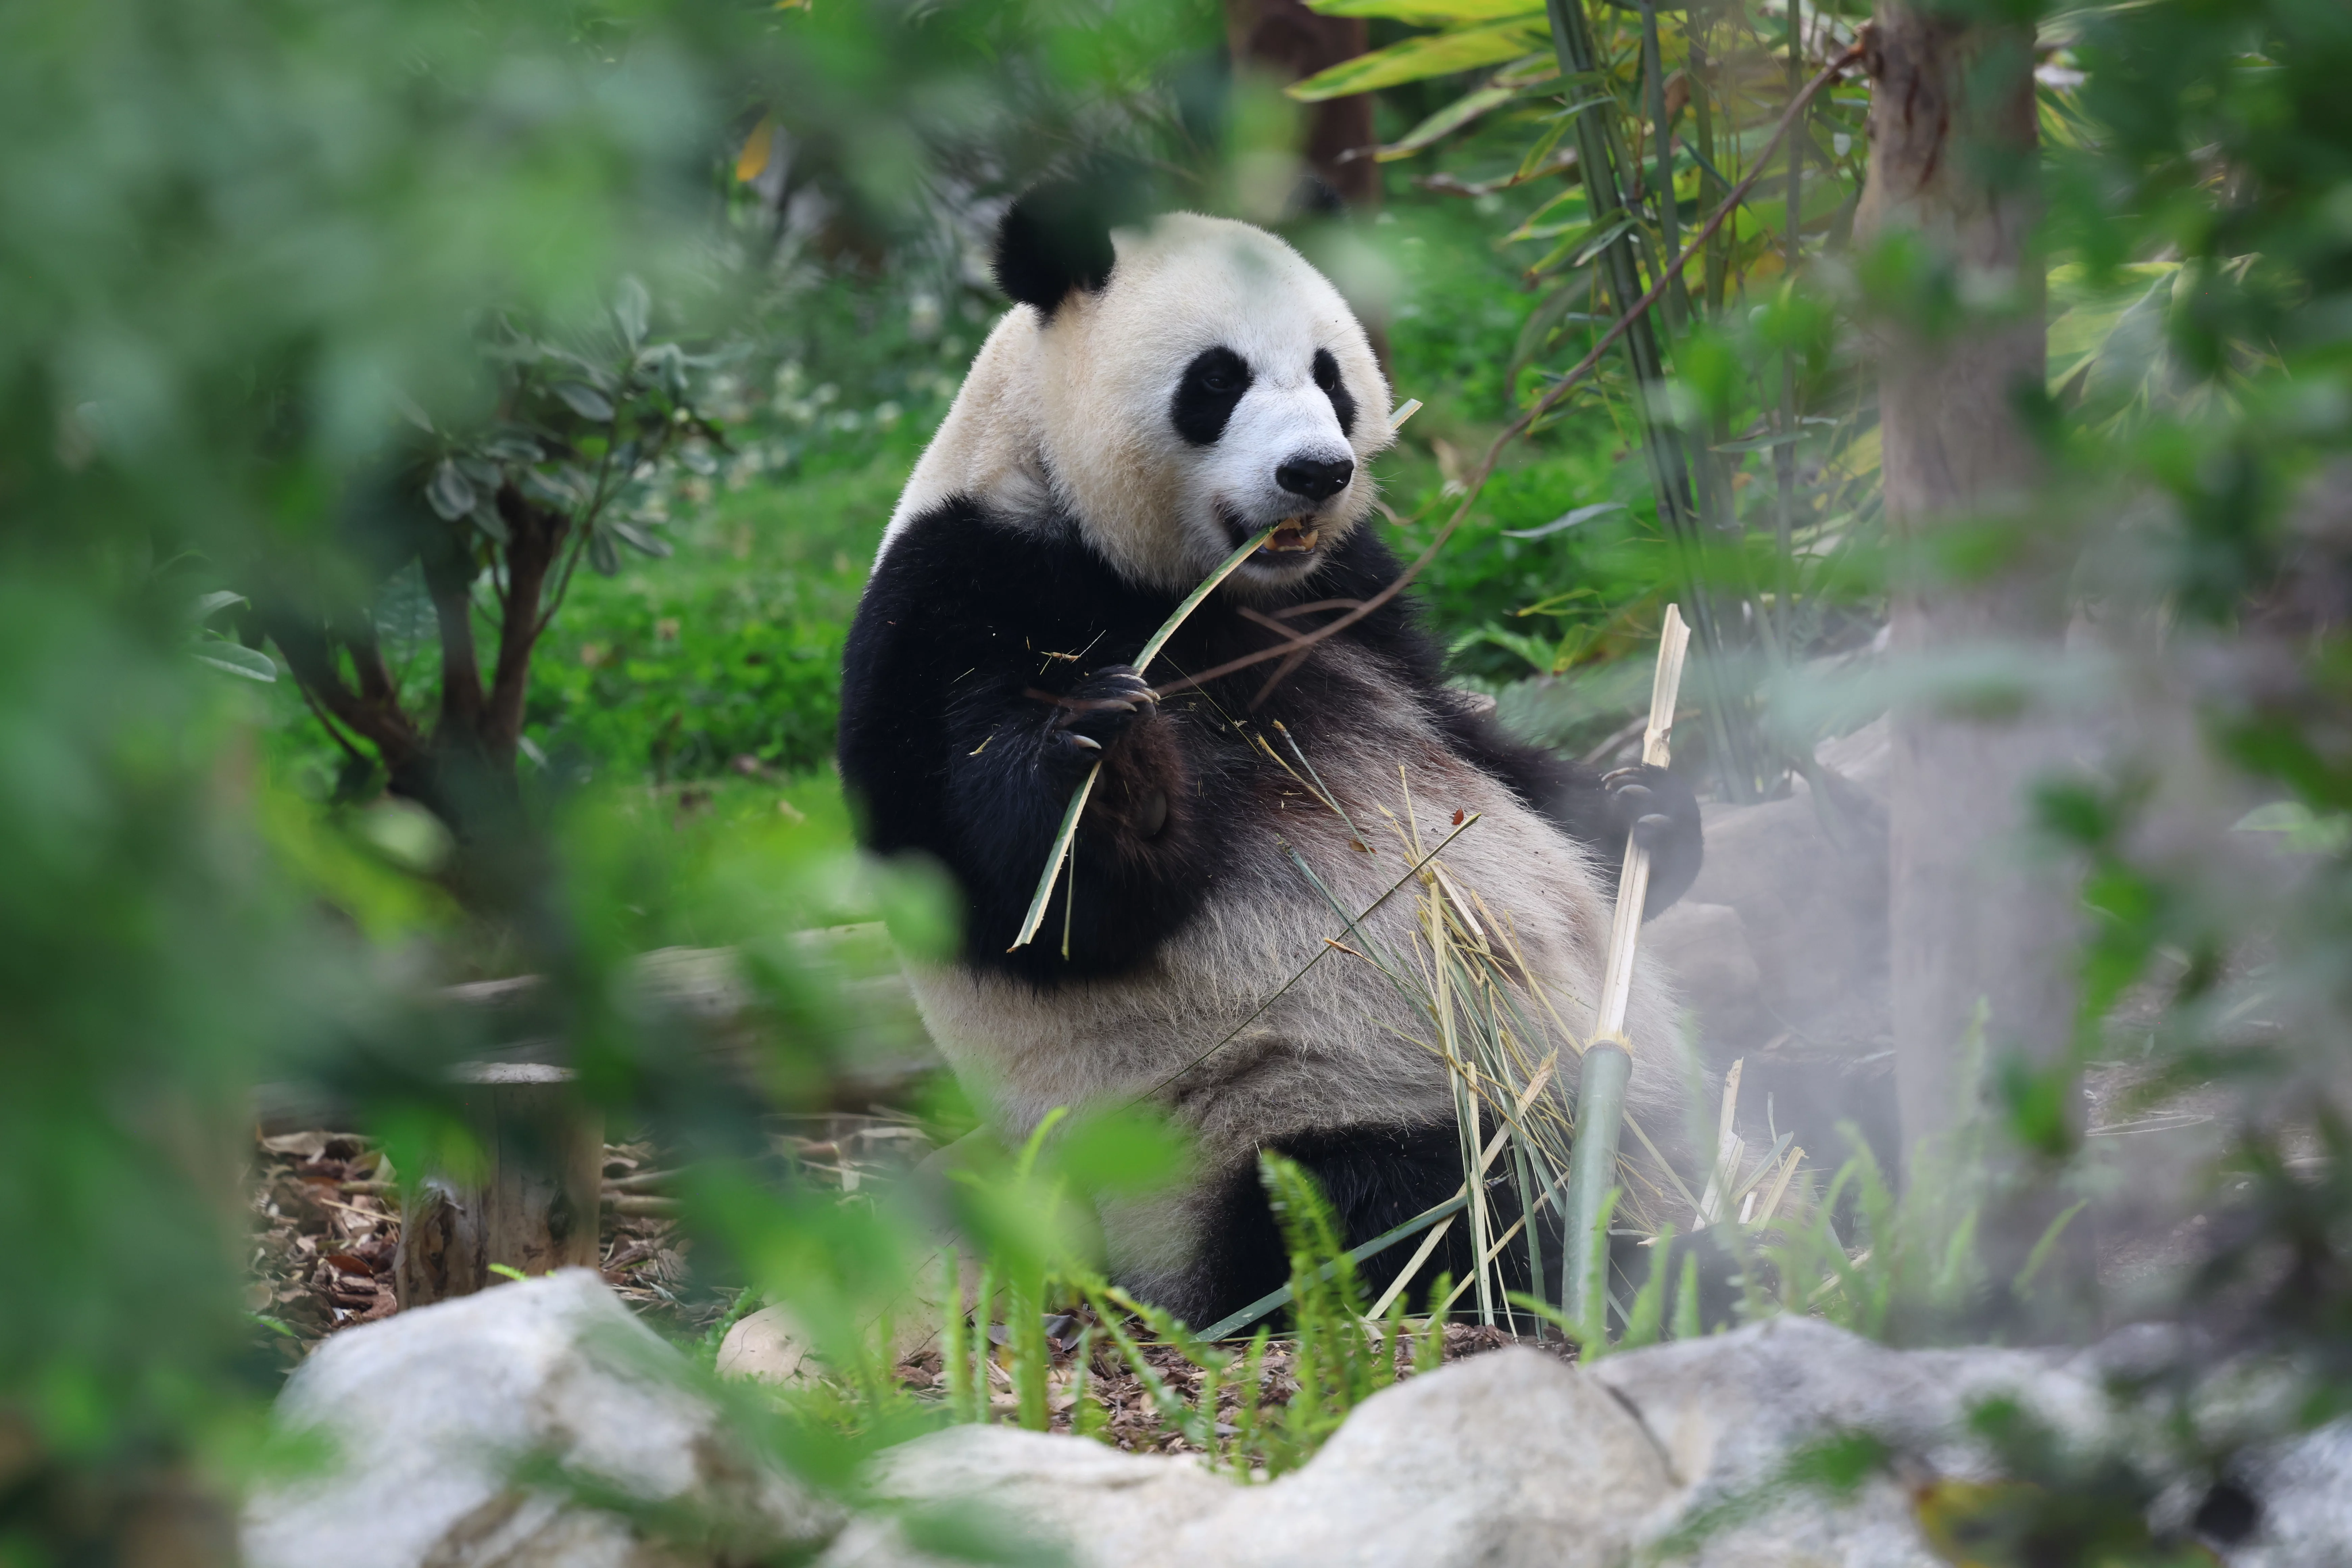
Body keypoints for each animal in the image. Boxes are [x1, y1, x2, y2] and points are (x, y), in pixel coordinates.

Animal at [838, 186, 1704, 1330]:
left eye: (1332, 375)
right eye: (1217, 380)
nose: (1318, 472)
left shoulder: (1352, 600)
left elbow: (1470, 741)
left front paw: (1647, 806)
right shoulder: (952, 592)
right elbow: (1011, 894)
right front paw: (1110, 770)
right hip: (1283, 1119)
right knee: (1422, 1211)